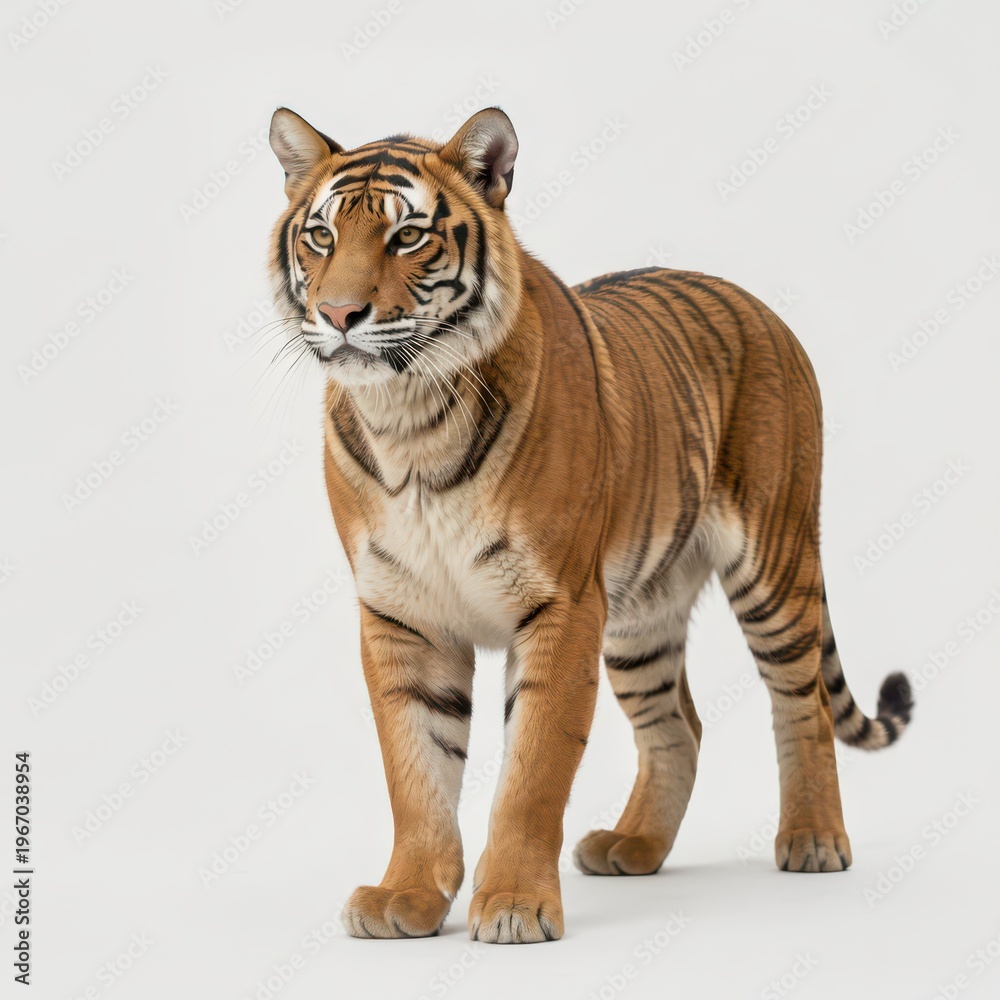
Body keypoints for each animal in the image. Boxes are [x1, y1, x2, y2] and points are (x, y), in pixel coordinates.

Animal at [266, 105, 913, 944]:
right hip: (642, 613)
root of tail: (759, 306)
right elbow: (414, 767)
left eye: (407, 236)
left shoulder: (561, 605)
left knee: (802, 700)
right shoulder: (400, 614)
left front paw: (513, 904)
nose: (340, 315)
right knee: (679, 725)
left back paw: (813, 840)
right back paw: (633, 846)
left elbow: (533, 771)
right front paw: (404, 897)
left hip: (775, 564)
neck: (408, 420)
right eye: (321, 236)